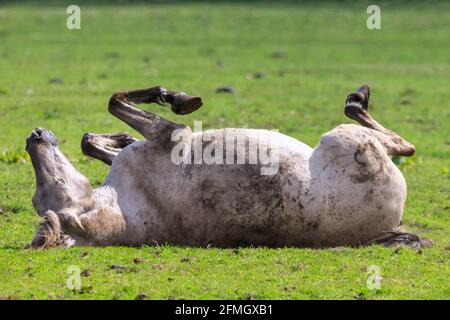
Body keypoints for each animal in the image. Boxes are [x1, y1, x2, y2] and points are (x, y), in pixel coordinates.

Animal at [27, 85, 428, 250]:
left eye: (40, 194)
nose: (34, 136)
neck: (123, 209)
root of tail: (389, 227)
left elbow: (90, 137)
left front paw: (118, 138)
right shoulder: (171, 136)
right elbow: (117, 102)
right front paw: (178, 98)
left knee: (402, 143)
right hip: (346, 138)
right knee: (398, 141)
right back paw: (358, 97)